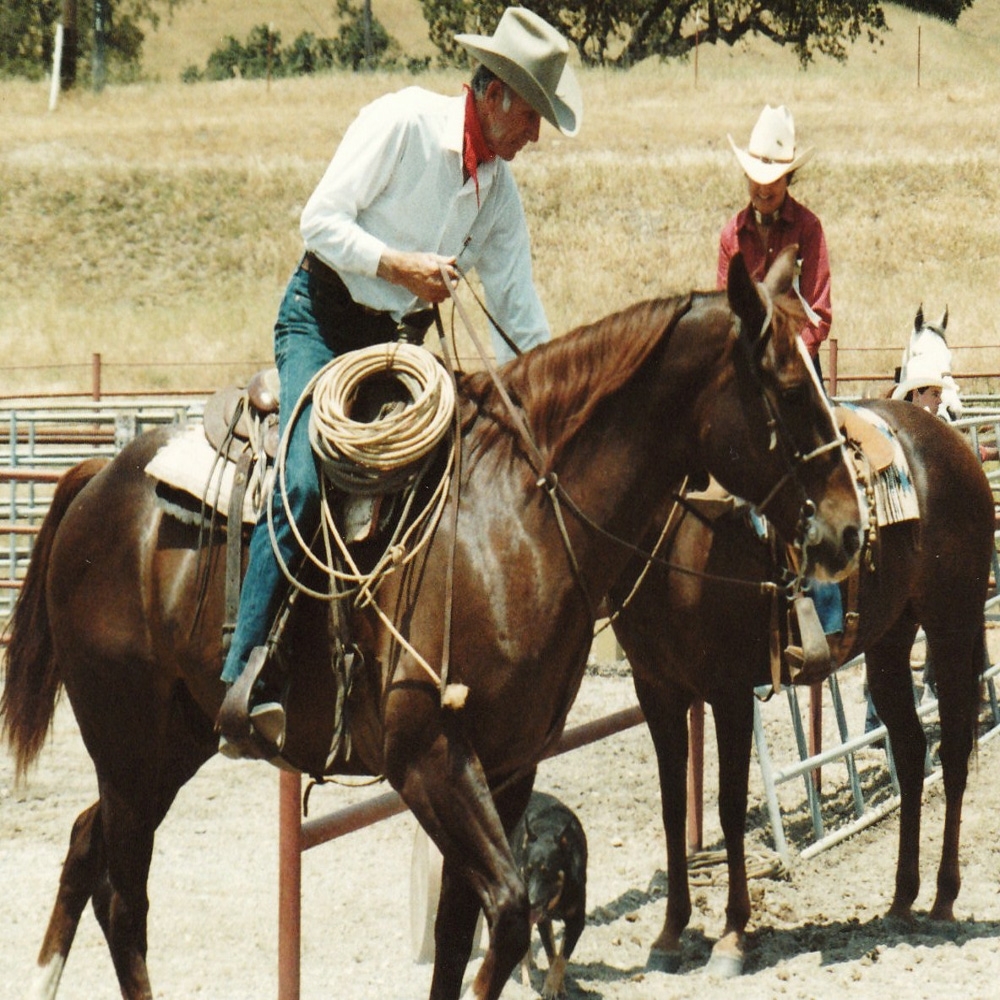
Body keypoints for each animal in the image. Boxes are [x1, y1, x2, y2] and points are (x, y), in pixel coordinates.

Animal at [508, 792, 584, 996]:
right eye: (527, 871)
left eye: (547, 872)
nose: (531, 902)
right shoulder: (542, 918)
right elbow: (551, 953)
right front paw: (552, 988)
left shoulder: (577, 921)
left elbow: (560, 958)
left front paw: (555, 986)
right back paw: (527, 979)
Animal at [608, 398, 992, 976]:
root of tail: (951, 443)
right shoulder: (655, 689)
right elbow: (673, 808)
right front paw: (671, 931)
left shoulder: (728, 691)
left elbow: (728, 806)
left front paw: (732, 935)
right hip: (889, 641)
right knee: (909, 751)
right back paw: (902, 898)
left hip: (951, 628)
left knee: (951, 755)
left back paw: (944, 898)